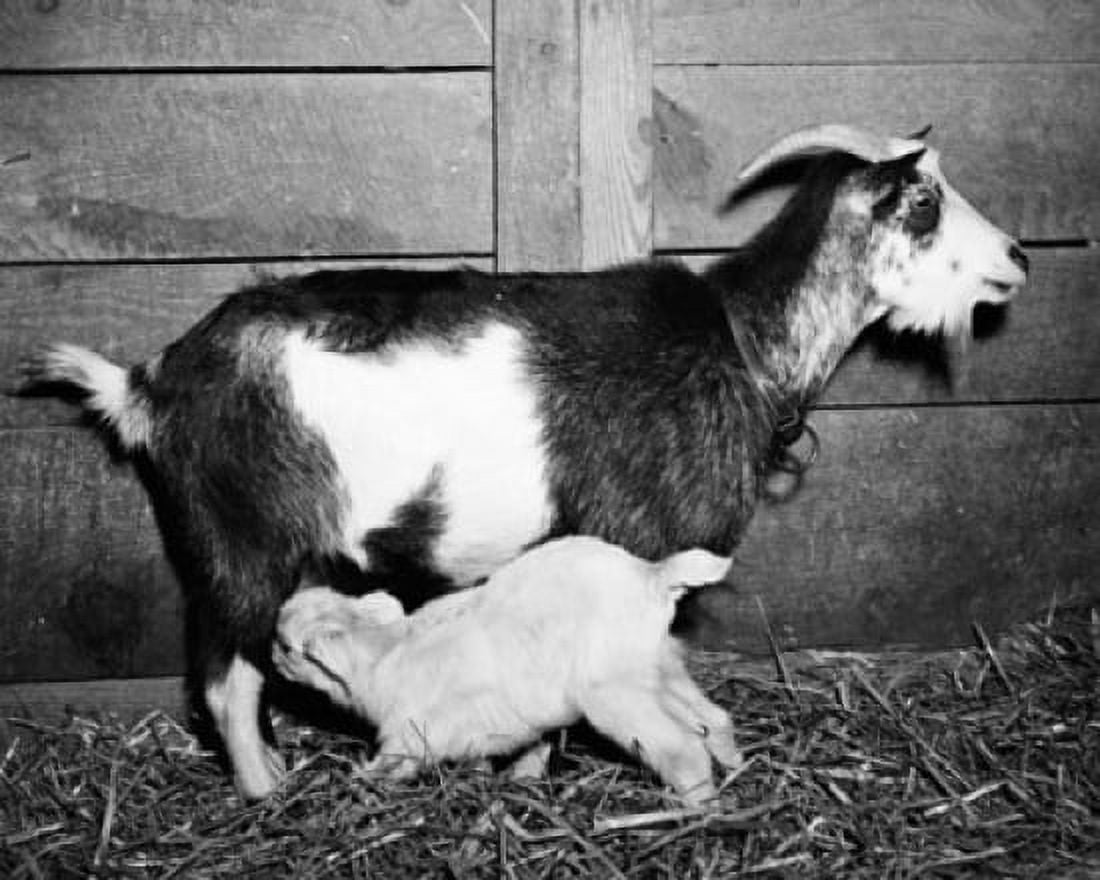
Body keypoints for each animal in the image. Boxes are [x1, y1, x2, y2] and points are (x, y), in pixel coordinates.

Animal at [273, 536, 739, 805]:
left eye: (288, 647)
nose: (272, 656)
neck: (386, 650)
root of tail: (652, 574)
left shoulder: (408, 736)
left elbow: (393, 767)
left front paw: (360, 781)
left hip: (614, 690)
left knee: (682, 747)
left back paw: (697, 808)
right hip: (657, 662)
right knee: (713, 718)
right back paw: (734, 768)